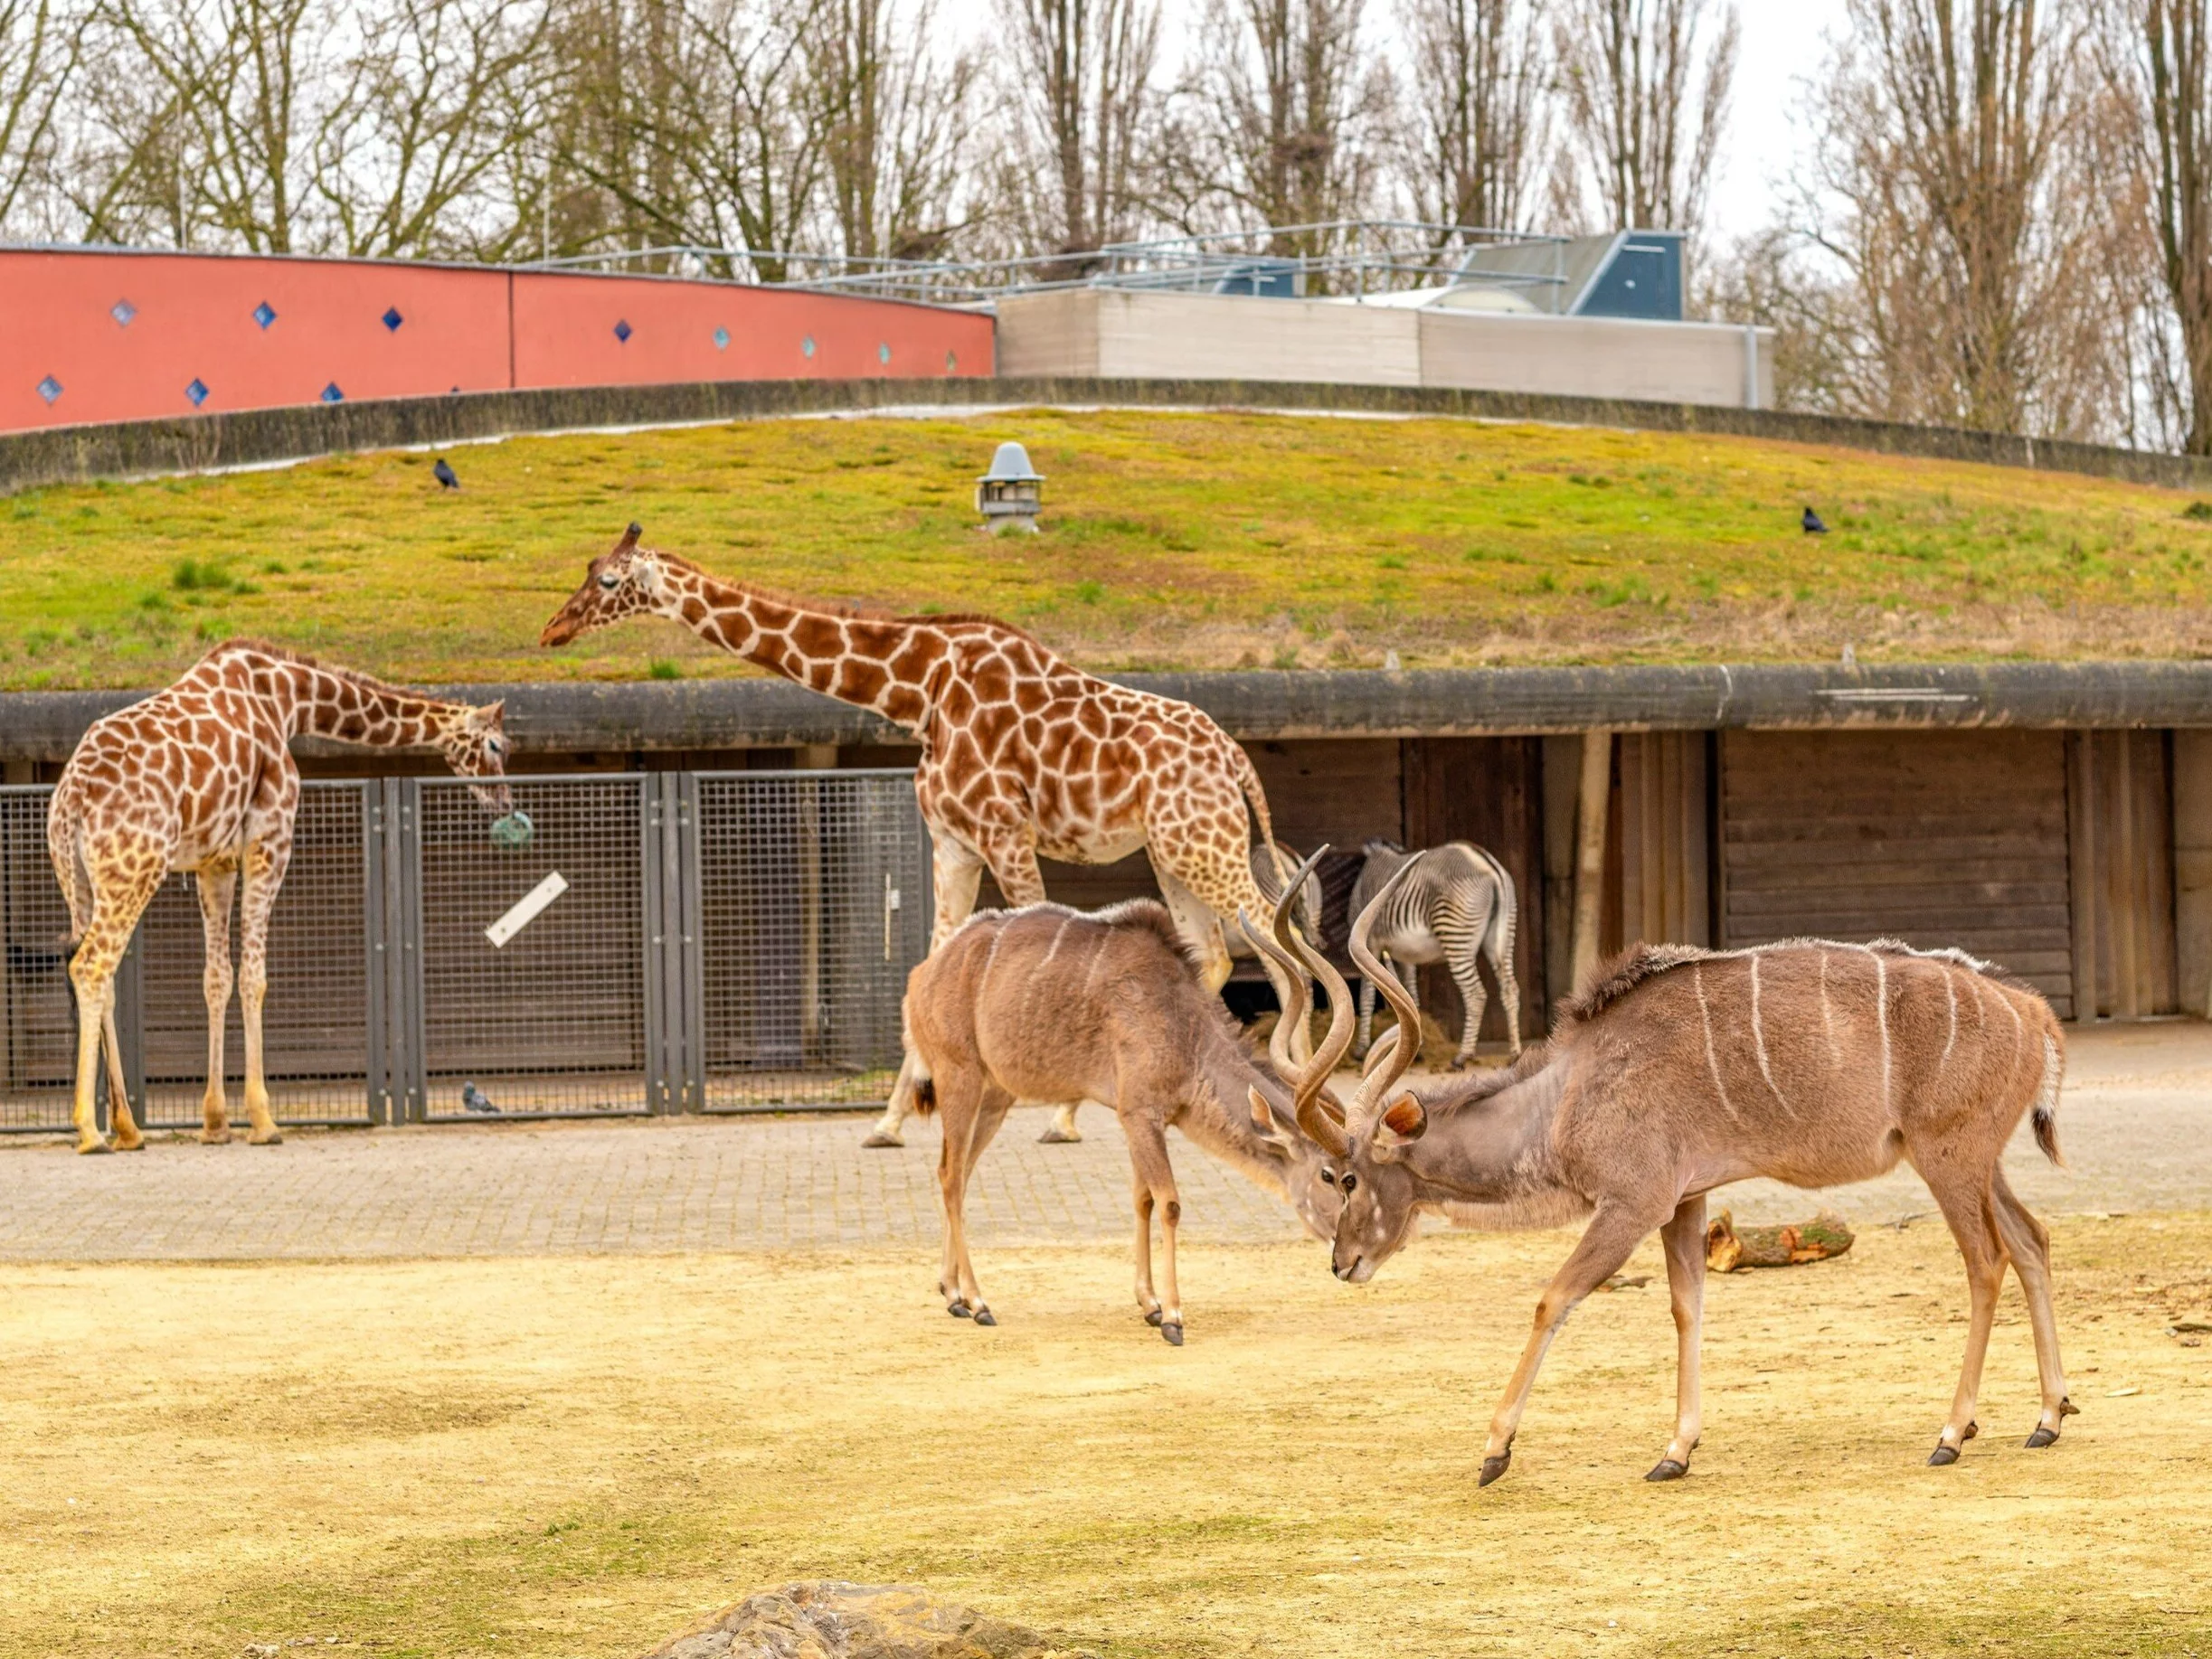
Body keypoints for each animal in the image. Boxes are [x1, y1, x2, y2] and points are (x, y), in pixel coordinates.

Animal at [51, 641, 508, 1159]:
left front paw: (215, 1122)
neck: (288, 699)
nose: (505, 801)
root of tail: (72, 795)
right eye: (496, 746)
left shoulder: (215, 863)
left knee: (101, 977)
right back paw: (89, 1131)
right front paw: (263, 1119)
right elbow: (254, 977)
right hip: (134, 870)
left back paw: (128, 1128)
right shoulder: (270, 840)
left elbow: (216, 978)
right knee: (91, 967)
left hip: (80, 881)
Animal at [537, 526, 1291, 1150]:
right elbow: (929, 962)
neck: (917, 689)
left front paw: (1053, 1109)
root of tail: (1235, 755)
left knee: (1274, 931)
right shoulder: (952, 842)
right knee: (1216, 952)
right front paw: (890, 1119)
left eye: (609, 581)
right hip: (1174, 847)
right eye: (588, 569)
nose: (552, 628)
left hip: (1205, 841)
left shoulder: (1004, 830)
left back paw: (1286, 1083)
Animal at [1345, 835, 1521, 1070]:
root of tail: (1490, 867)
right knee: (1510, 989)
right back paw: (1515, 1054)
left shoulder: (1370, 943)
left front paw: (1360, 1049)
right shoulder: (1405, 955)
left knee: (1476, 994)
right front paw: (1415, 1047)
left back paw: (1462, 1056)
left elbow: (1366, 996)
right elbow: (1410, 994)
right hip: (1501, 938)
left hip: (1456, 934)